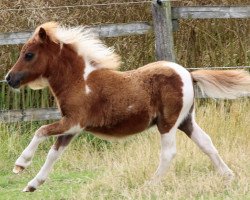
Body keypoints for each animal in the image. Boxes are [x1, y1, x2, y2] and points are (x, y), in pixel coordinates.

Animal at [5, 21, 250, 192]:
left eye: (29, 54)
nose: (9, 79)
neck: (80, 82)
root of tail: (188, 74)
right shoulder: (72, 129)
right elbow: (53, 154)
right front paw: (32, 184)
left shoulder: (74, 122)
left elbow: (40, 131)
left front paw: (20, 164)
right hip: (185, 121)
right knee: (207, 143)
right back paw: (228, 176)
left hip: (168, 123)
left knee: (169, 153)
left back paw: (150, 184)